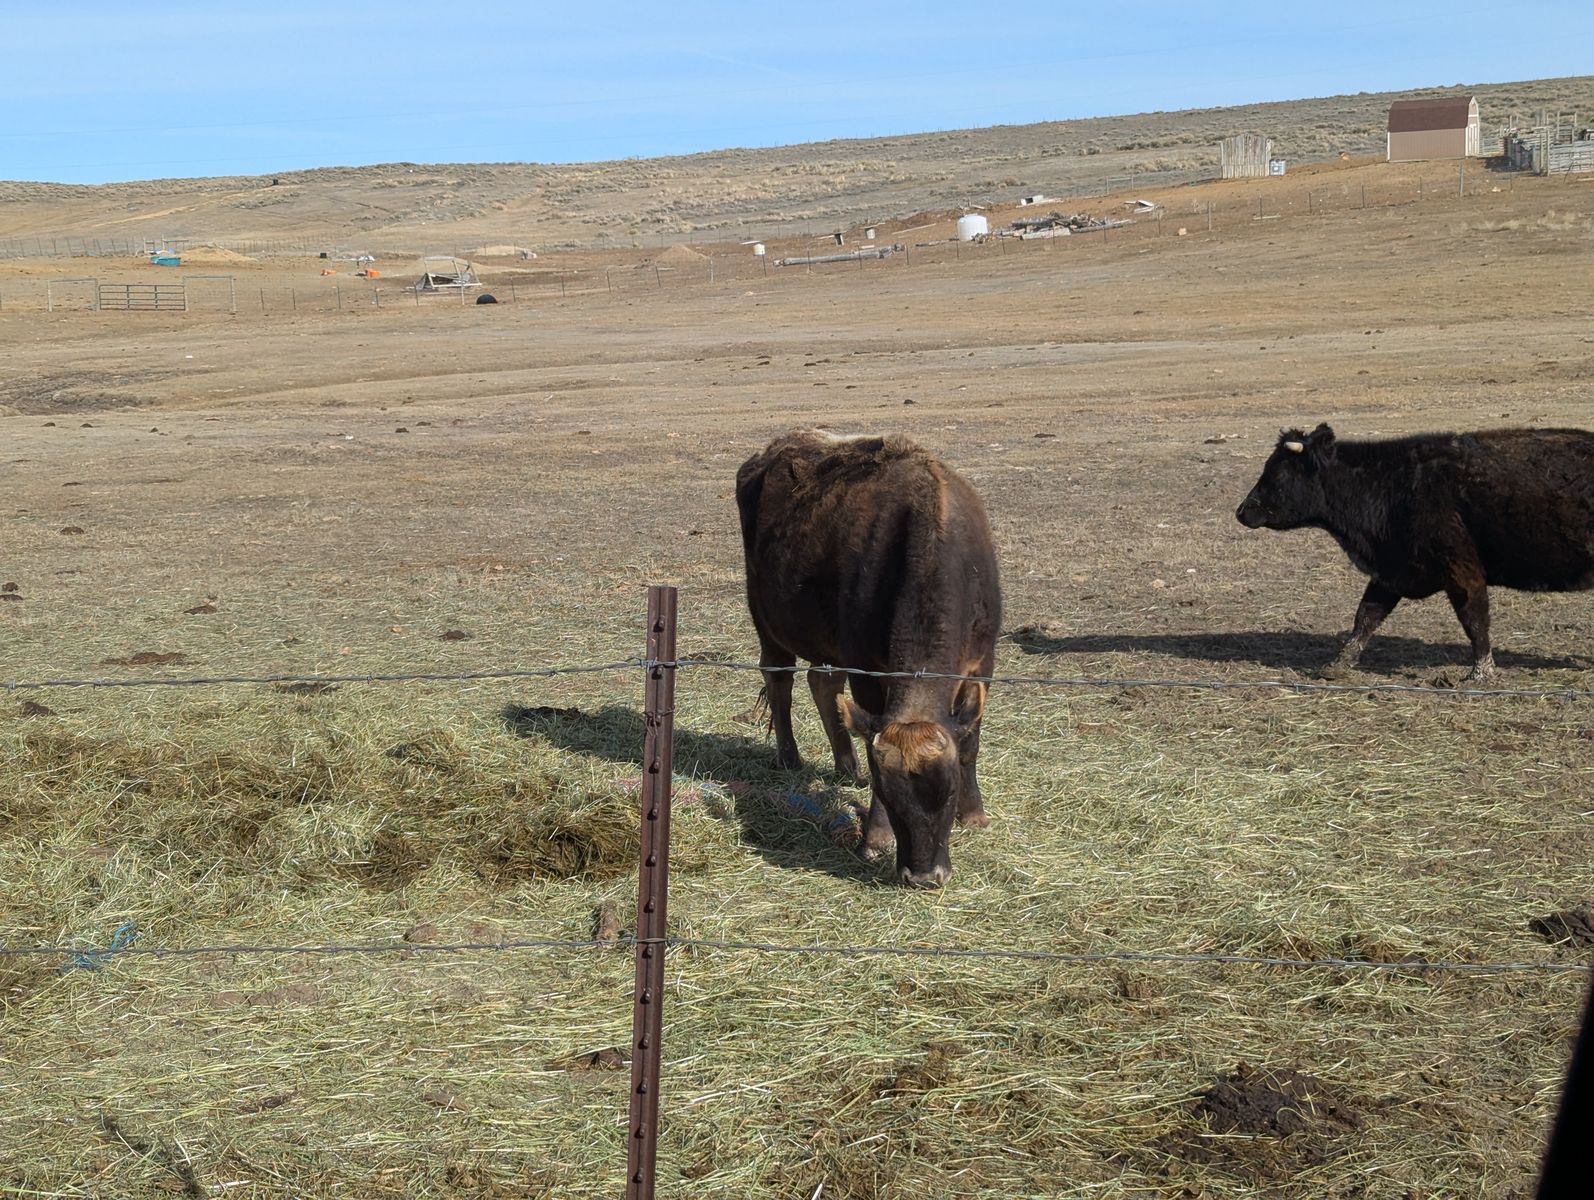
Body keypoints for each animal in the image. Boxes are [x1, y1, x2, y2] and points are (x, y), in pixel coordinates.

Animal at [735, 430, 1001, 888]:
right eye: (890, 797)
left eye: (947, 793)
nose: (924, 876)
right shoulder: (866, 666)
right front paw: (874, 837)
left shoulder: (982, 663)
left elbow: (970, 742)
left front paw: (975, 814)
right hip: (767, 620)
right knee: (780, 681)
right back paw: (789, 756)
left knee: (822, 683)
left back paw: (846, 765)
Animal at [1236, 423, 1594, 679]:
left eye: (1278, 473)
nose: (1242, 511)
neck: (1392, 484)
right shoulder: (1390, 572)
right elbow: (1365, 617)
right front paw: (1338, 664)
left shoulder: (1461, 570)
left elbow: (1475, 619)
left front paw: (1481, 672)